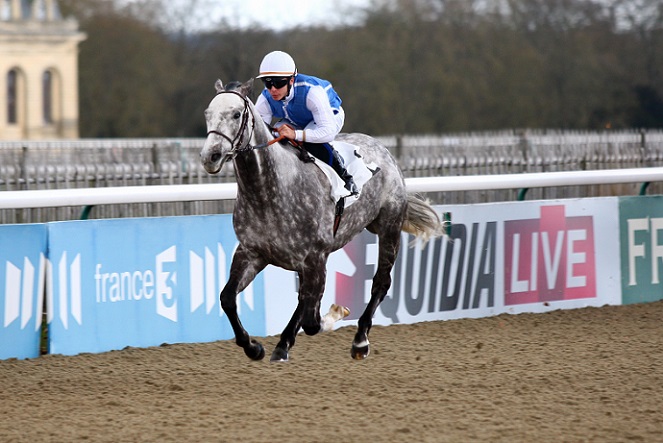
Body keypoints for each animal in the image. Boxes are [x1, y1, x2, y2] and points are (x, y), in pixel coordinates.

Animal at [200, 79, 444, 364]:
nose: (210, 156)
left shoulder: (315, 256)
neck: (269, 192)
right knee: (304, 299)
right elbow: (227, 298)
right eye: (208, 113)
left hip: (389, 227)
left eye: (237, 114)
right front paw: (253, 347)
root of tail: (382, 148)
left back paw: (360, 341)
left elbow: (313, 322)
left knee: (380, 283)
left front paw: (338, 312)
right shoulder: (253, 252)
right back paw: (283, 345)